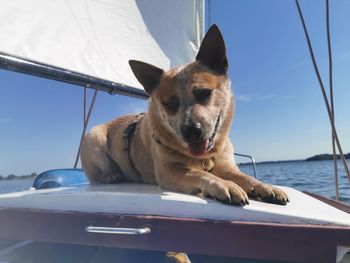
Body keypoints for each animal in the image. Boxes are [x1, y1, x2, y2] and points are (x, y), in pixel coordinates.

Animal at [80, 25, 288, 206]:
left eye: (204, 93)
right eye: (170, 104)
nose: (191, 131)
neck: (205, 158)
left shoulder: (227, 166)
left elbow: (245, 177)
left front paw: (265, 186)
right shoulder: (168, 171)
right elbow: (202, 174)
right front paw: (224, 185)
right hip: (93, 137)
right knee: (99, 174)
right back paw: (112, 175)